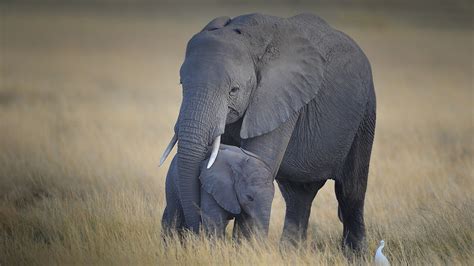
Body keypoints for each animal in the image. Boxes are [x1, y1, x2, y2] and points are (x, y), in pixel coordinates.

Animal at [161, 13, 376, 251]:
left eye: (233, 90)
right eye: (182, 84)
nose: (192, 232)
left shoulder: (281, 92)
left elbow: (259, 159)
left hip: (365, 114)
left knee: (350, 192)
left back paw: (356, 254)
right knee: (298, 195)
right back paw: (290, 253)